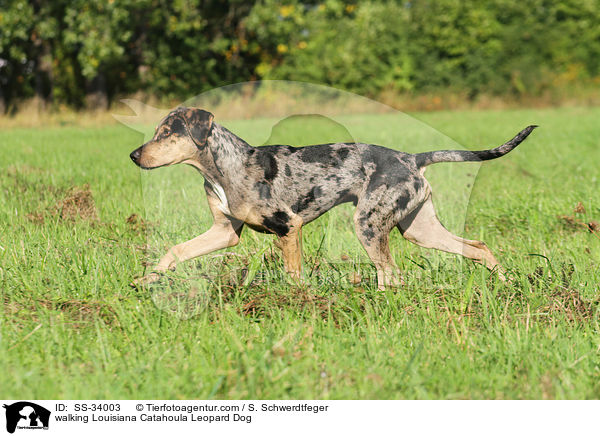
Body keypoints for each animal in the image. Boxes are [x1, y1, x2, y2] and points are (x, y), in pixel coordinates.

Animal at [130, 106, 536, 290]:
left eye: (167, 134)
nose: (134, 156)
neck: (222, 168)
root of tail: (412, 158)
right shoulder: (224, 232)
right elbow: (174, 251)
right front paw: (146, 280)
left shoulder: (288, 227)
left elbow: (294, 276)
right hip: (418, 228)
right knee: (477, 247)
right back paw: (507, 284)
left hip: (369, 225)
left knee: (392, 273)